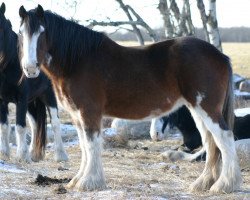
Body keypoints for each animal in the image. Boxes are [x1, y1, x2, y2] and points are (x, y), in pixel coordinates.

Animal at [0, 2, 68, 162]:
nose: (30, 69)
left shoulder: (21, 99)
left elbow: (20, 127)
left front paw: (21, 155)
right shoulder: (2, 101)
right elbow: (4, 127)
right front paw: (5, 153)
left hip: (48, 96)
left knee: (55, 123)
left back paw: (61, 155)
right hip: (32, 101)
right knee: (35, 124)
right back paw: (33, 153)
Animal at [18, 5, 241, 194]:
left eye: (41, 32)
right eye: (21, 33)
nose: (30, 68)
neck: (78, 61)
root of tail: (220, 56)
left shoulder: (89, 112)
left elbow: (91, 145)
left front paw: (89, 182)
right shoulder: (76, 115)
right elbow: (84, 147)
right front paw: (78, 180)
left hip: (207, 108)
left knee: (224, 137)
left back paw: (224, 185)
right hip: (196, 109)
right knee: (211, 142)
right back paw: (203, 183)